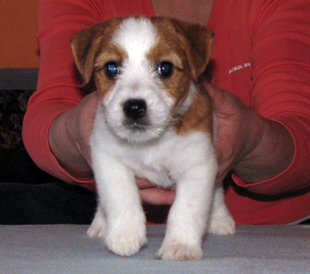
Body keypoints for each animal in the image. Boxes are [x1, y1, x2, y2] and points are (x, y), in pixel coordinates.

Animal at [71, 15, 235, 262]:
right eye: (111, 68)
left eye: (165, 68)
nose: (134, 107)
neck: (152, 141)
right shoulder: (107, 158)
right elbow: (119, 196)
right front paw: (124, 235)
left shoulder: (198, 165)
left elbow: (186, 208)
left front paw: (180, 245)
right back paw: (100, 223)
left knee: (215, 194)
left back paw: (220, 219)